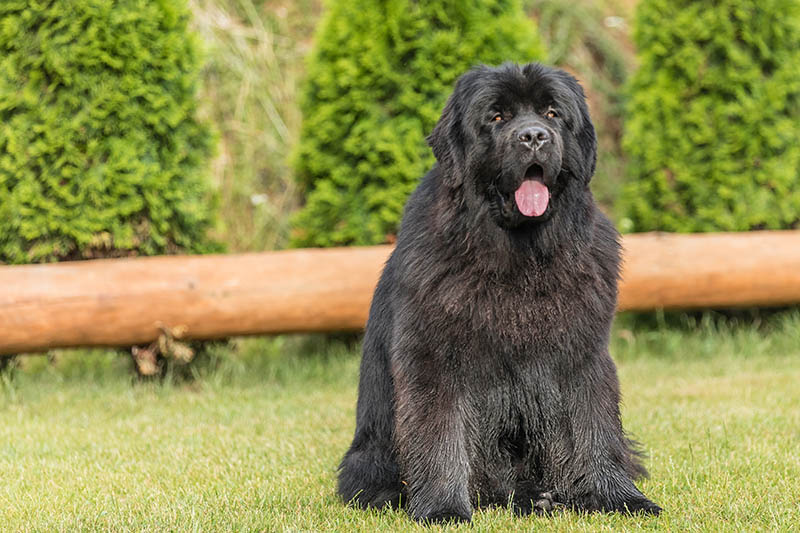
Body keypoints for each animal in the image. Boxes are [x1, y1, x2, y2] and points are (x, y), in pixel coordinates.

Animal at [334, 63, 660, 524]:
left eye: (552, 113)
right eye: (497, 117)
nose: (534, 136)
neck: (519, 256)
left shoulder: (581, 353)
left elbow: (593, 426)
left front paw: (619, 499)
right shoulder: (434, 357)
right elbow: (439, 432)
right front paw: (442, 508)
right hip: (371, 457)